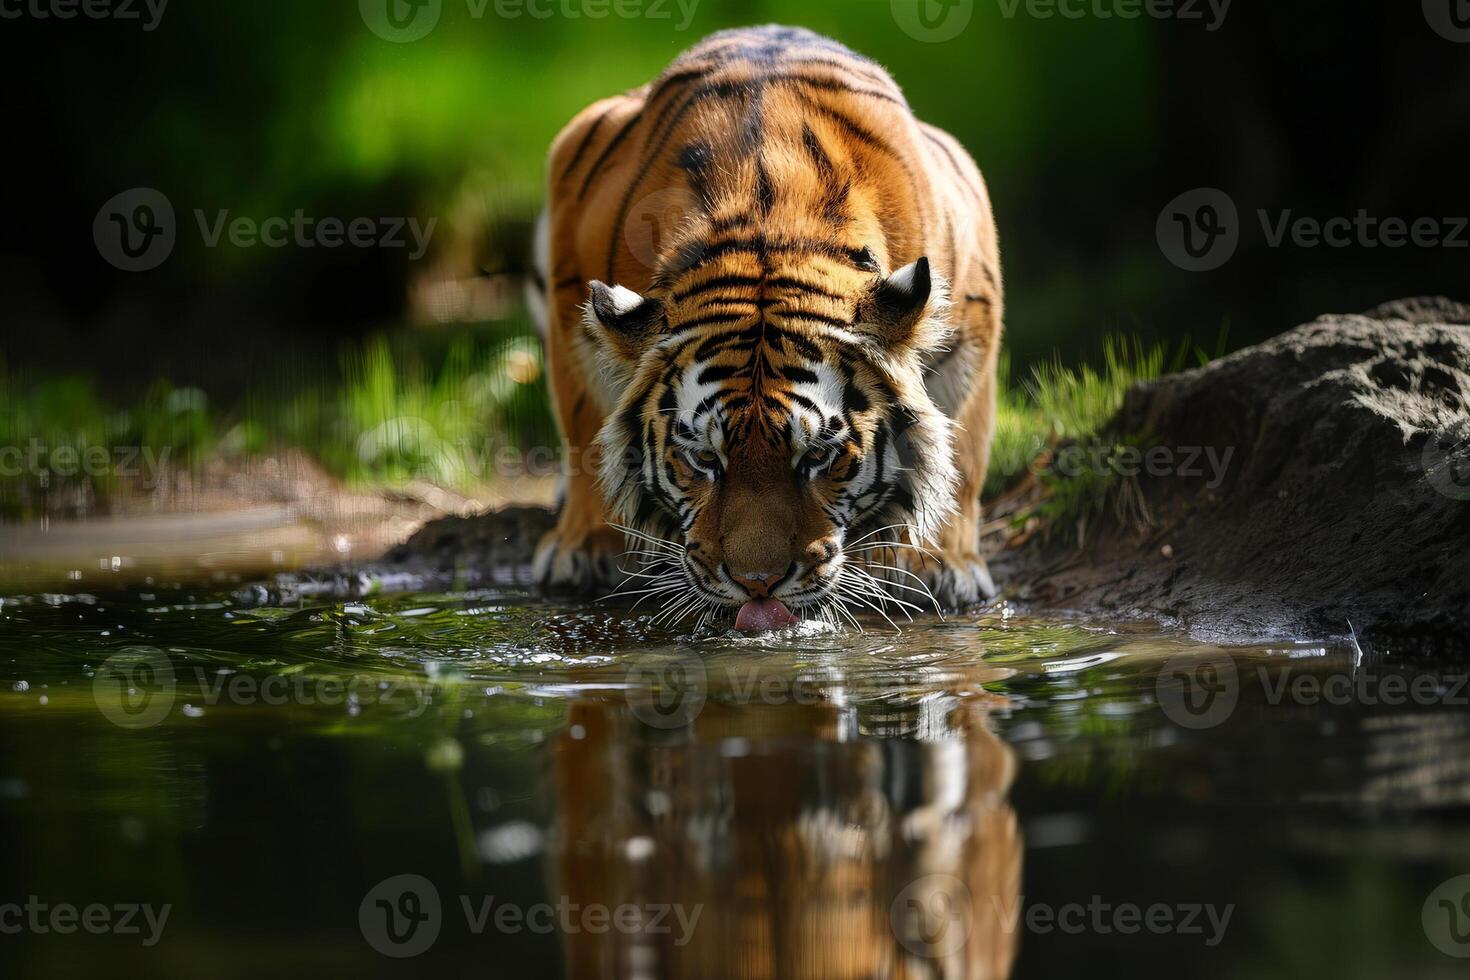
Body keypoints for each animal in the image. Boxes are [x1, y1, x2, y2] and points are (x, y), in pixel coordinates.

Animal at [535, 24, 1005, 628]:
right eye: (703, 458)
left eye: (819, 456)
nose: (757, 585)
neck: (768, 226)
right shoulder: (573, 284)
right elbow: (583, 429)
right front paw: (588, 547)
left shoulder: (974, 302)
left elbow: (963, 447)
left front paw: (942, 565)